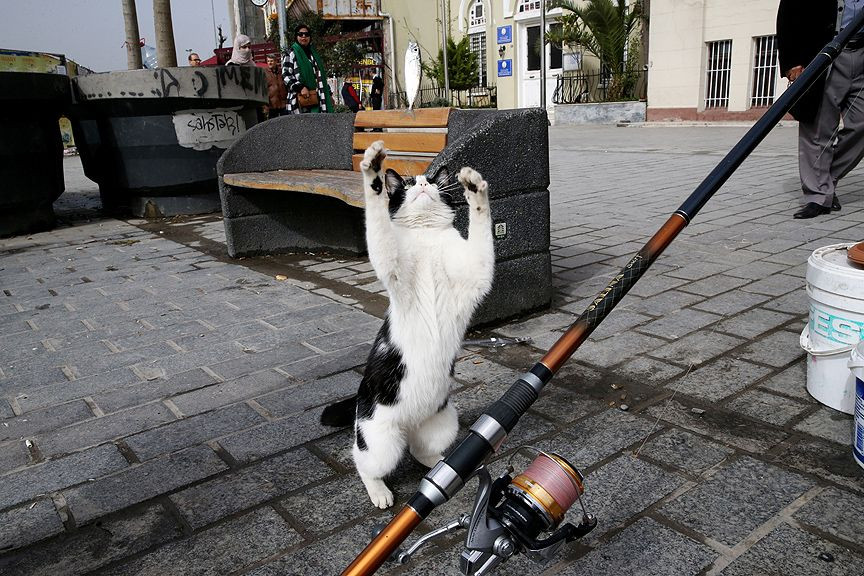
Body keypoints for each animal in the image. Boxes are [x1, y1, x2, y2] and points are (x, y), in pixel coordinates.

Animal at [318, 141, 496, 508]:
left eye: (432, 180)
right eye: (411, 183)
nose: (424, 183)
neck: (427, 236)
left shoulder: (476, 270)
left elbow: (481, 225)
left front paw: (475, 188)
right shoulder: (392, 264)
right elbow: (377, 222)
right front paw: (372, 170)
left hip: (443, 423)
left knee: (419, 450)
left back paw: (445, 467)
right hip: (380, 442)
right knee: (363, 461)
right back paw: (380, 492)